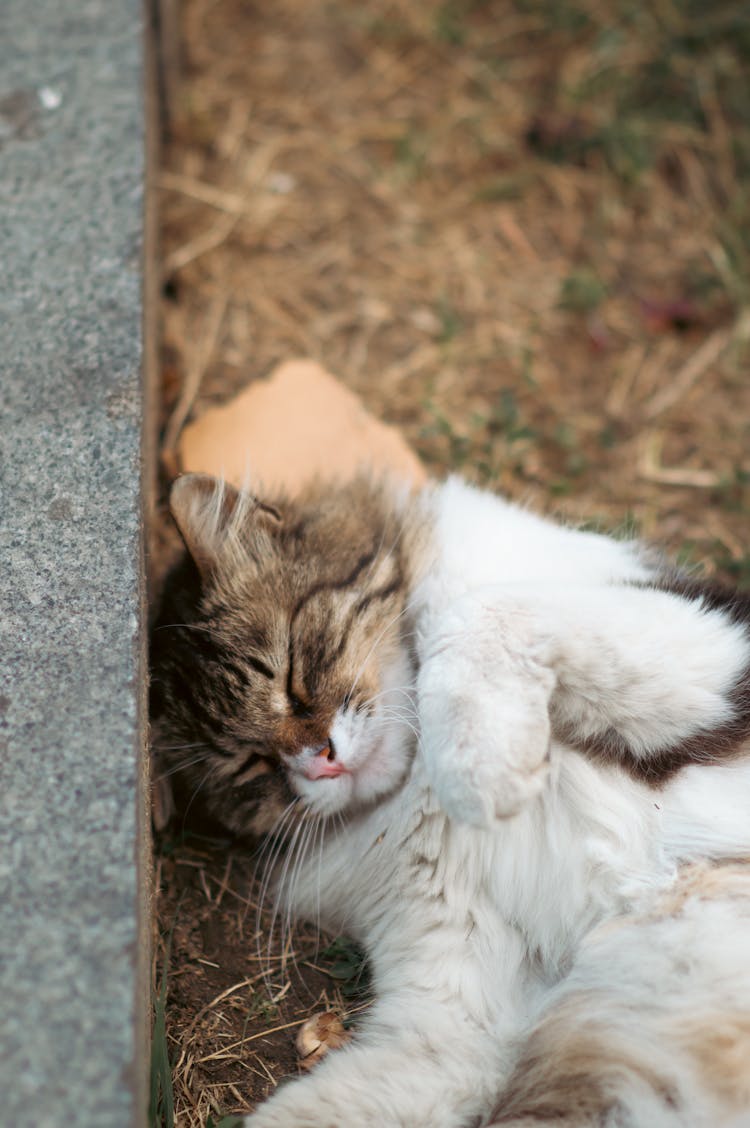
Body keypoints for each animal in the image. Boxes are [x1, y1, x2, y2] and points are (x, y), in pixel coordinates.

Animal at [148, 473, 748, 1128]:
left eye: (292, 677)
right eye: (251, 764)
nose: (321, 762)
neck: (414, 780)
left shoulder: (706, 641)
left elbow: (475, 616)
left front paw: (488, 774)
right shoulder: (459, 1016)